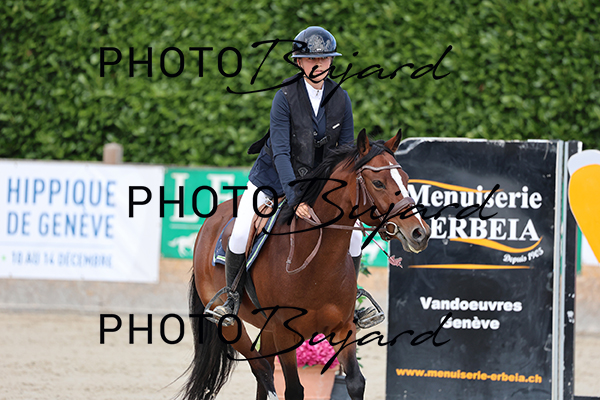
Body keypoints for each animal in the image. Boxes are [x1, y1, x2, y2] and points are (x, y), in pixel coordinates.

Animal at [181, 129, 431, 400]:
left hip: (267, 329)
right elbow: (294, 389)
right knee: (262, 370)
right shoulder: (285, 334)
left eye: (405, 179)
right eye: (378, 183)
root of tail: (210, 221)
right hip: (229, 324)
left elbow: (355, 382)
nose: (420, 233)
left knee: (264, 371)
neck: (316, 266)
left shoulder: (343, 328)